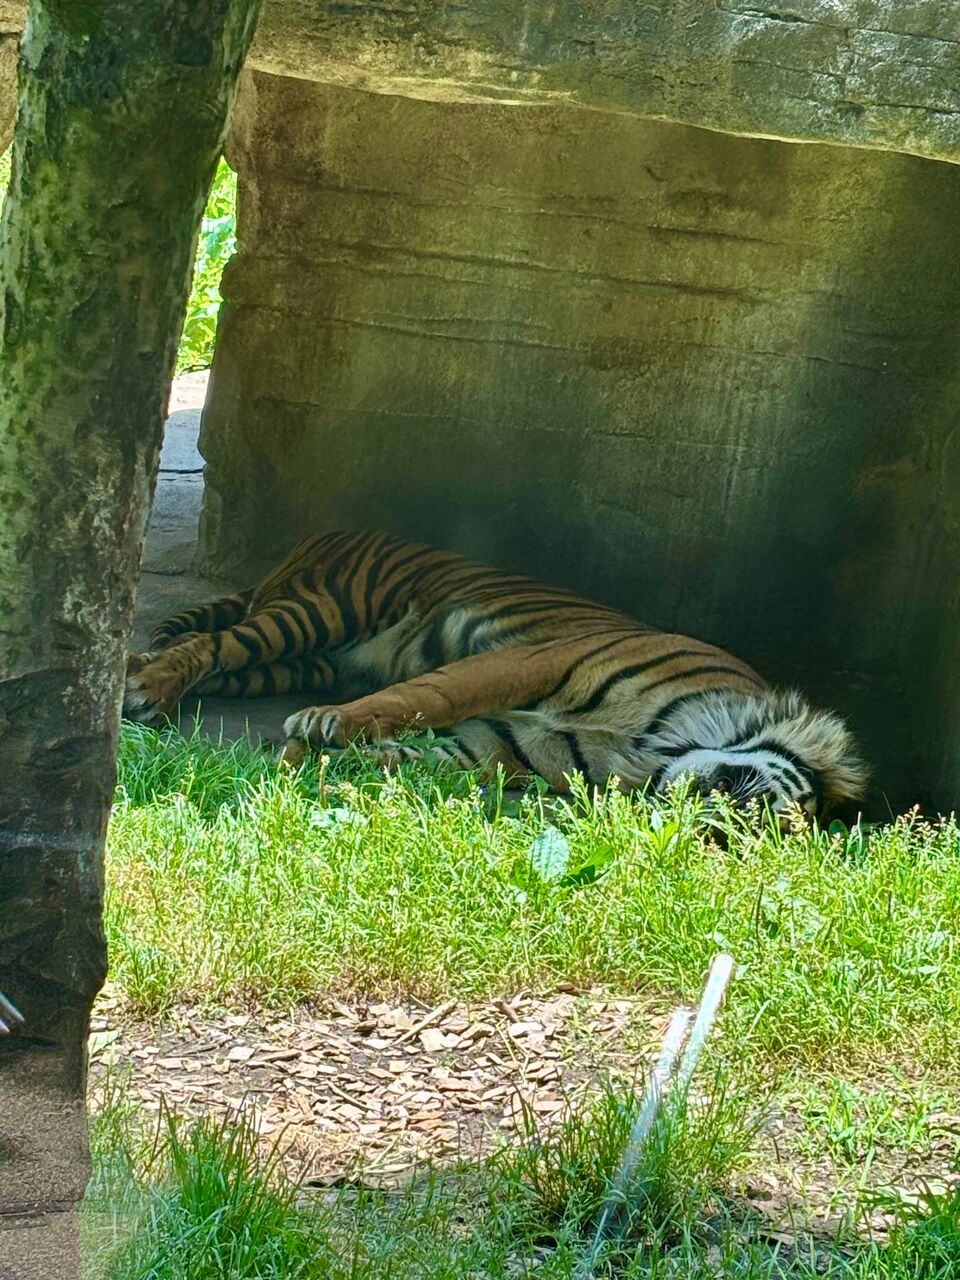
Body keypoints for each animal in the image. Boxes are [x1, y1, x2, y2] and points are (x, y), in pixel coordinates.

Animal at [124, 529, 868, 819]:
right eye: (757, 811)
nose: (709, 825)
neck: (654, 749)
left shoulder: (508, 743)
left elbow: (421, 753)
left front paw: (320, 765)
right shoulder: (531, 660)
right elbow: (427, 694)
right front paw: (322, 732)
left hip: (295, 659)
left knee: (217, 659)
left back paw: (140, 677)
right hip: (321, 610)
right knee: (212, 645)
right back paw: (142, 688)